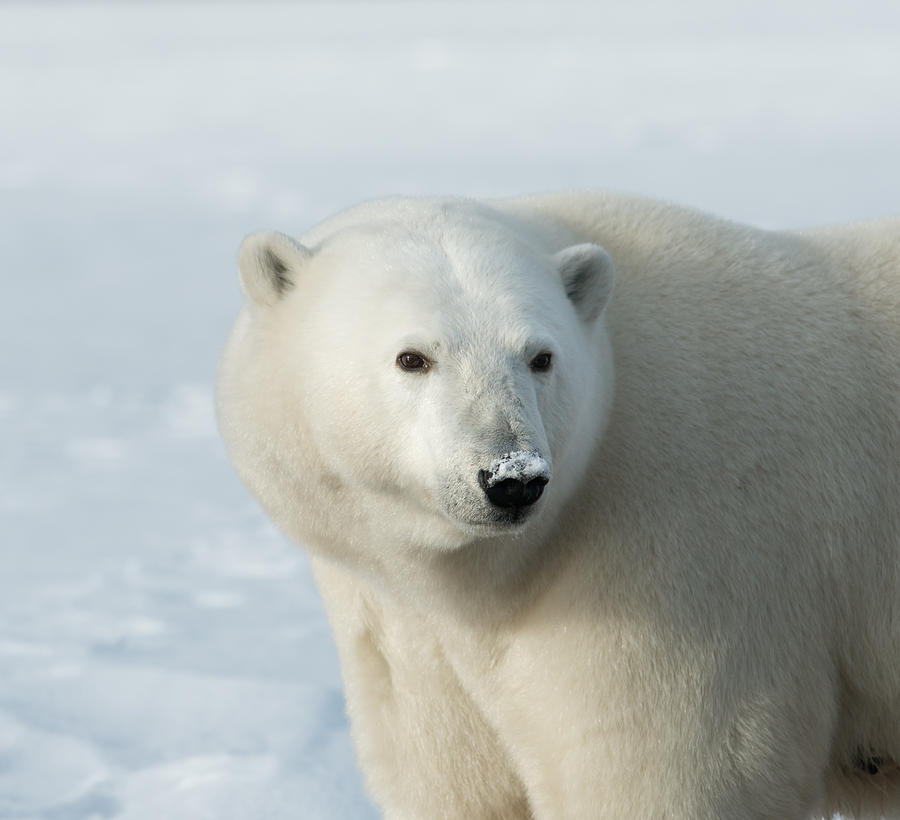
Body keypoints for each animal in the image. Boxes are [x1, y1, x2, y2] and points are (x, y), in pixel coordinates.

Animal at [220, 194, 900, 820]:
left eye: (540, 356)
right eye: (413, 357)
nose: (512, 478)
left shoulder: (675, 575)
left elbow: (661, 774)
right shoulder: (405, 634)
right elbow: (453, 778)